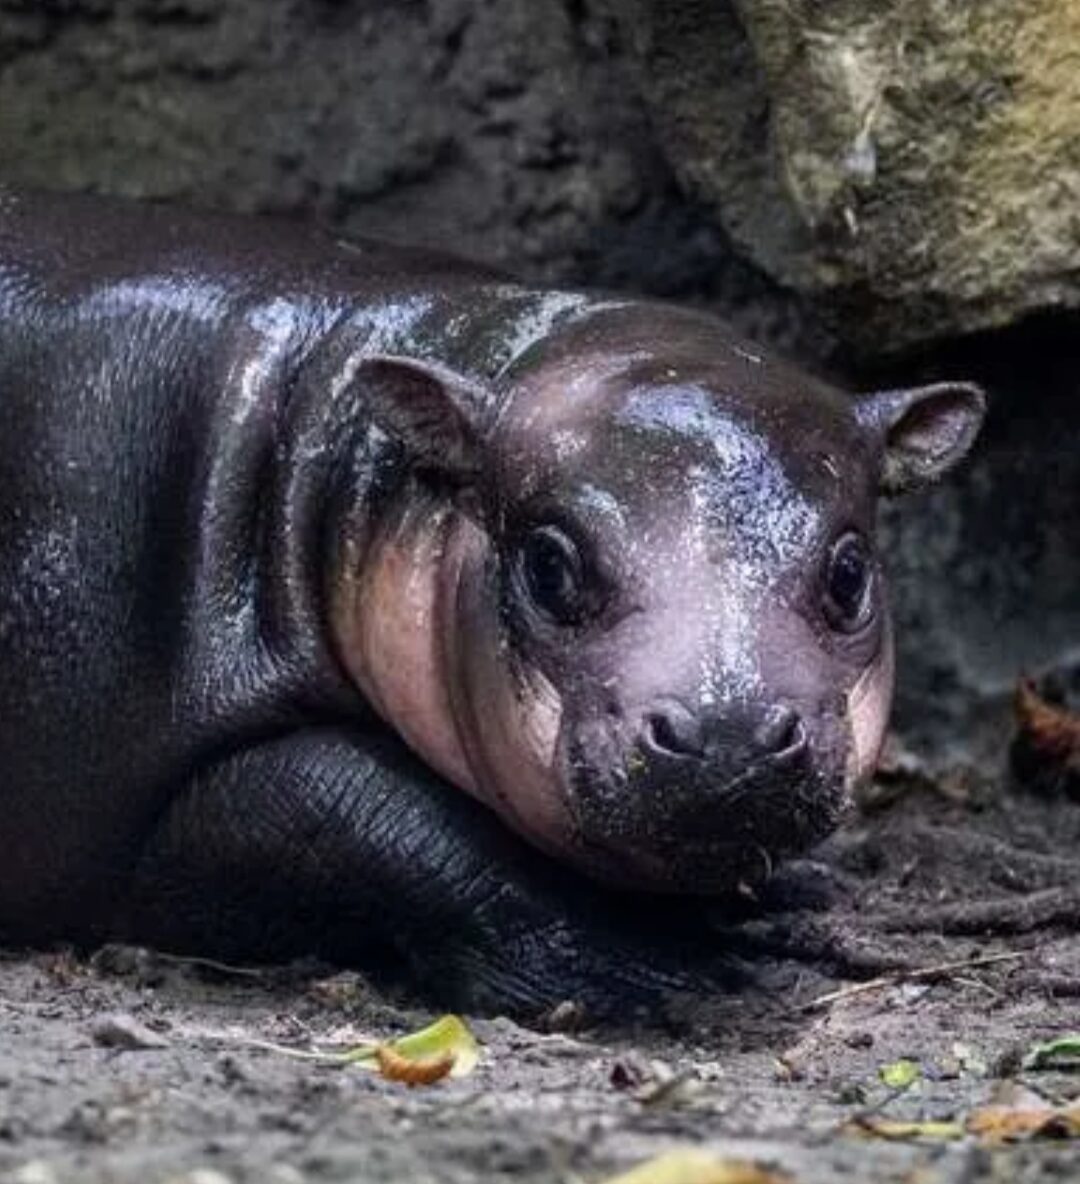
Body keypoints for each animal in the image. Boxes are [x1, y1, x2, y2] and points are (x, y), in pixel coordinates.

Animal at [0, 187, 984, 1015]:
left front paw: (786, 896)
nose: (730, 733)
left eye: (850, 573)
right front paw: (667, 976)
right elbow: (374, 815)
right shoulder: (153, 796)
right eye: (548, 566)